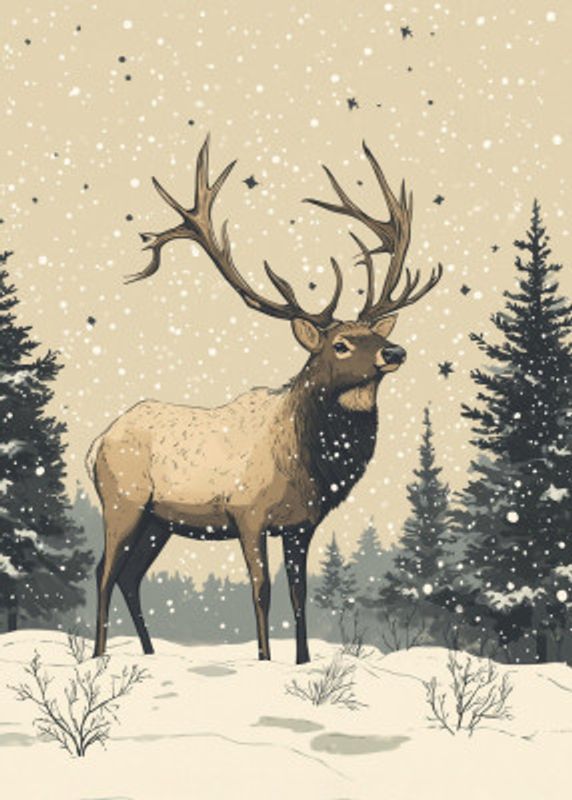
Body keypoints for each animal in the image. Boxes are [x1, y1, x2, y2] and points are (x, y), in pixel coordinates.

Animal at [86, 136, 442, 664]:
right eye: (341, 344)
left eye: (374, 335)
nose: (395, 351)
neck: (306, 464)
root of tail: (96, 443)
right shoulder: (247, 513)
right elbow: (261, 590)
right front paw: (264, 659)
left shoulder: (302, 524)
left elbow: (298, 594)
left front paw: (302, 660)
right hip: (122, 501)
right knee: (104, 572)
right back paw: (97, 656)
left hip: (158, 521)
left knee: (131, 577)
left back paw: (148, 653)